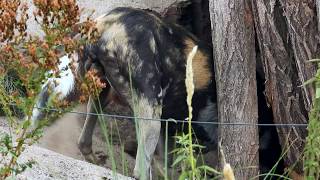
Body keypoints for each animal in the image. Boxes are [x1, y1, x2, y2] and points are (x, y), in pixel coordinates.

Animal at [31, 6, 218, 179]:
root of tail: (103, 24)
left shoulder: (166, 129)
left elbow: (165, 164)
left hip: (95, 92)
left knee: (79, 139)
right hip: (151, 116)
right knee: (140, 170)